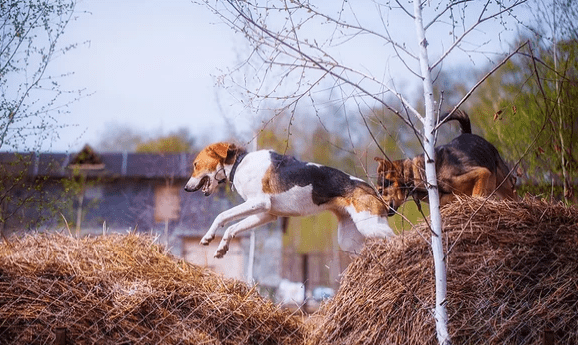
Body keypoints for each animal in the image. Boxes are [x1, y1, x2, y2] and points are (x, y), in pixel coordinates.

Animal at [182, 141, 394, 256]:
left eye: (195, 164)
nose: (185, 188)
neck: (239, 164)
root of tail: (370, 188)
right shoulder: (266, 214)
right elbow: (233, 228)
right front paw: (222, 248)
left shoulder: (258, 203)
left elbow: (222, 216)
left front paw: (208, 237)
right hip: (350, 240)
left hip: (370, 226)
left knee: (394, 237)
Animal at [374, 110, 516, 214]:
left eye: (380, 191)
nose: (381, 212)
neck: (418, 174)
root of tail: (468, 134)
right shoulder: (446, 200)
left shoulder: (482, 173)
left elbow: (477, 195)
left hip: (505, 185)